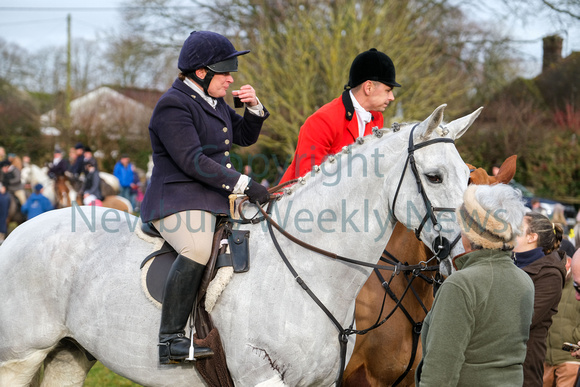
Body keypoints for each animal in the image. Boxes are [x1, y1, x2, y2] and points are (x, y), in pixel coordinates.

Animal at [0, 104, 480, 386]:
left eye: (469, 176)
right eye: (434, 176)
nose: (463, 259)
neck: (313, 271)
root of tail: (22, 230)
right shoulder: (263, 377)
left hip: (69, 353)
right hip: (20, 357)